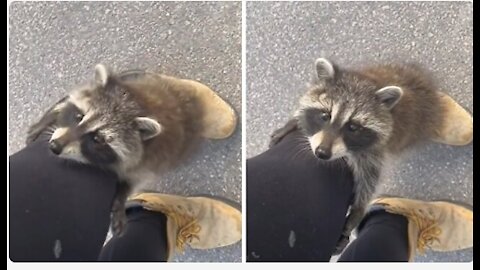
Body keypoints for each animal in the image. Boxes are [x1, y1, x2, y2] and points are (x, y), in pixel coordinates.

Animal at [26, 65, 232, 234]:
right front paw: (49, 119)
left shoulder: (150, 162)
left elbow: (135, 180)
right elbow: (64, 104)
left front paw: (121, 197)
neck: (139, 102)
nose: (54, 146)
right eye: (79, 116)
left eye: (97, 139)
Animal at [272, 58, 448, 254]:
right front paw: (294, 122)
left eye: (353, 127)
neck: (365, 80)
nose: (322, 153)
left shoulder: (376, 151)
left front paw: (359, 208)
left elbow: (370, 179)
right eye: (325, 115)